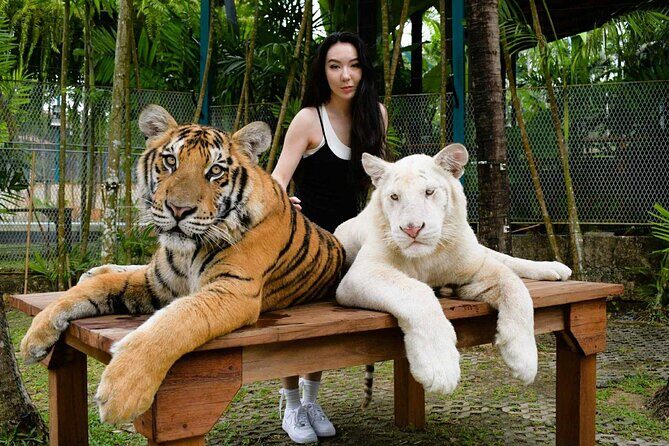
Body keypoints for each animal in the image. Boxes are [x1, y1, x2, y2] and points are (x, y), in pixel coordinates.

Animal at [19, 104, 345, 425]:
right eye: (170, 161)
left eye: (215, 171)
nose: (178, 209)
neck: (188, 251)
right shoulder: (155, 283)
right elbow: (92, 290)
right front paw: (34, 337)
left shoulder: (233, 291)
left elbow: (175, 320)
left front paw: (122, 390)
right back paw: (91, 271)